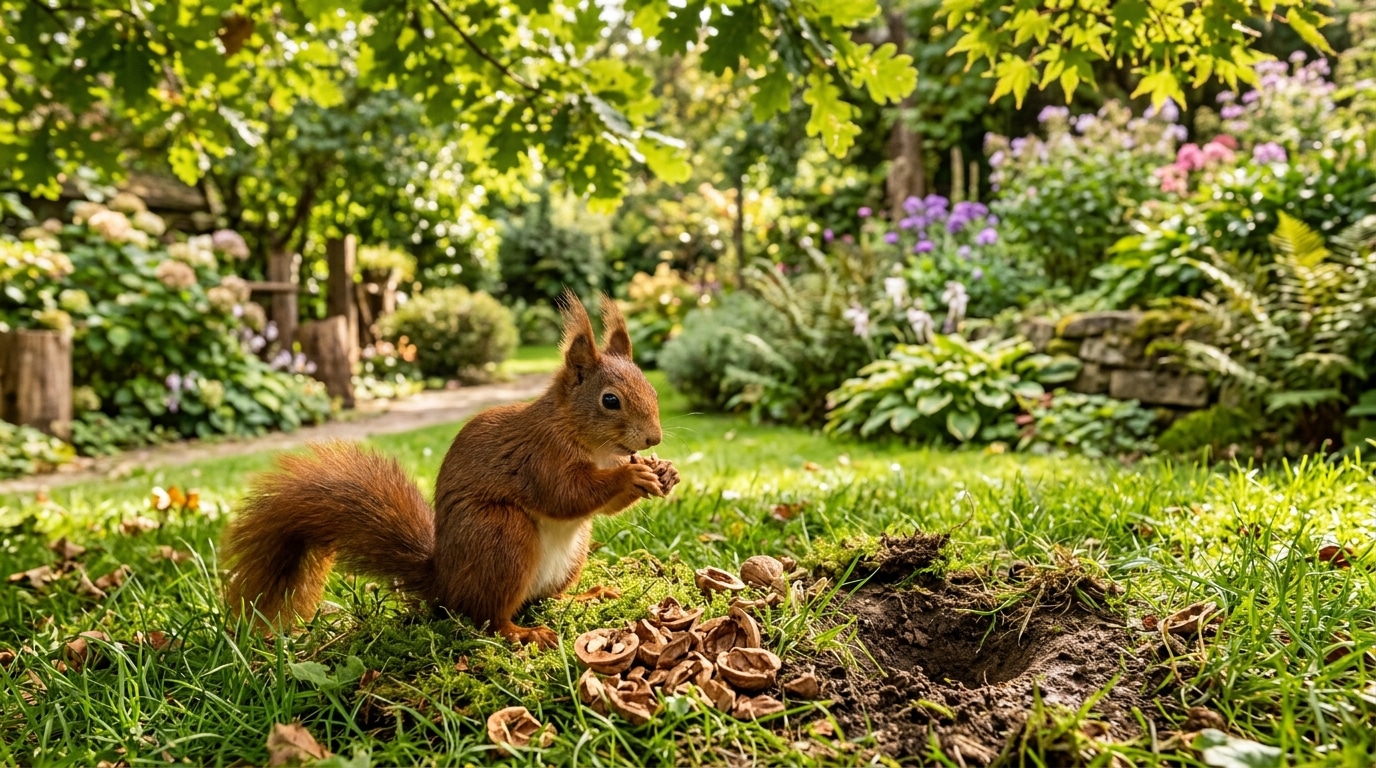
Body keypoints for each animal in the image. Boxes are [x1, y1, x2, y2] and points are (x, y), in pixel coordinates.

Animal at [220, 291, 679, 649]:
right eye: (610, 400)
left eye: (653, 390)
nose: (654, 438)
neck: (593, 446)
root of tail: (445, 584)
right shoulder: (539, 457)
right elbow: (566, 495)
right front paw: (631, 477)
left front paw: (666, 473)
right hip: (501, 535)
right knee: (488, 617)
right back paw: (522, 633)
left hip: (570, 554)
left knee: (541, 601)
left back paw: (583, 598)